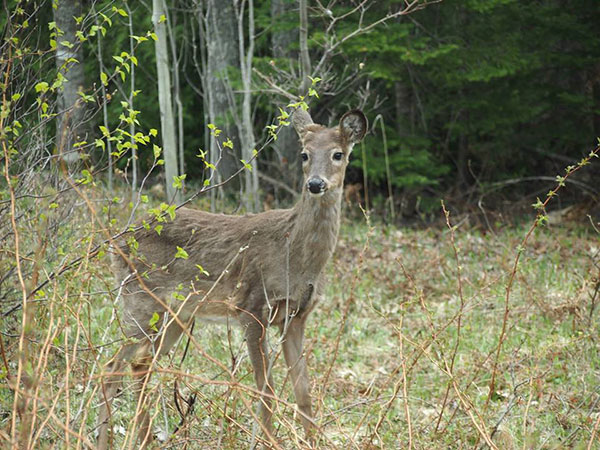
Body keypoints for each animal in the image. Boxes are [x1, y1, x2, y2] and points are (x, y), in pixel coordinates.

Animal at [96, 107, 368, 448]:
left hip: (177, 315)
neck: (296, 256)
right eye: (304, 154)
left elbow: (303, 393)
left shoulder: (297, 316)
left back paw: (141, 438)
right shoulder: (250, 308)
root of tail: (114, 242)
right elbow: (266, 392)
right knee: (111, 368)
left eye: (338, 154)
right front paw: (270, 441)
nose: (316, 183)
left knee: (138, 365)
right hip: (141, 301)